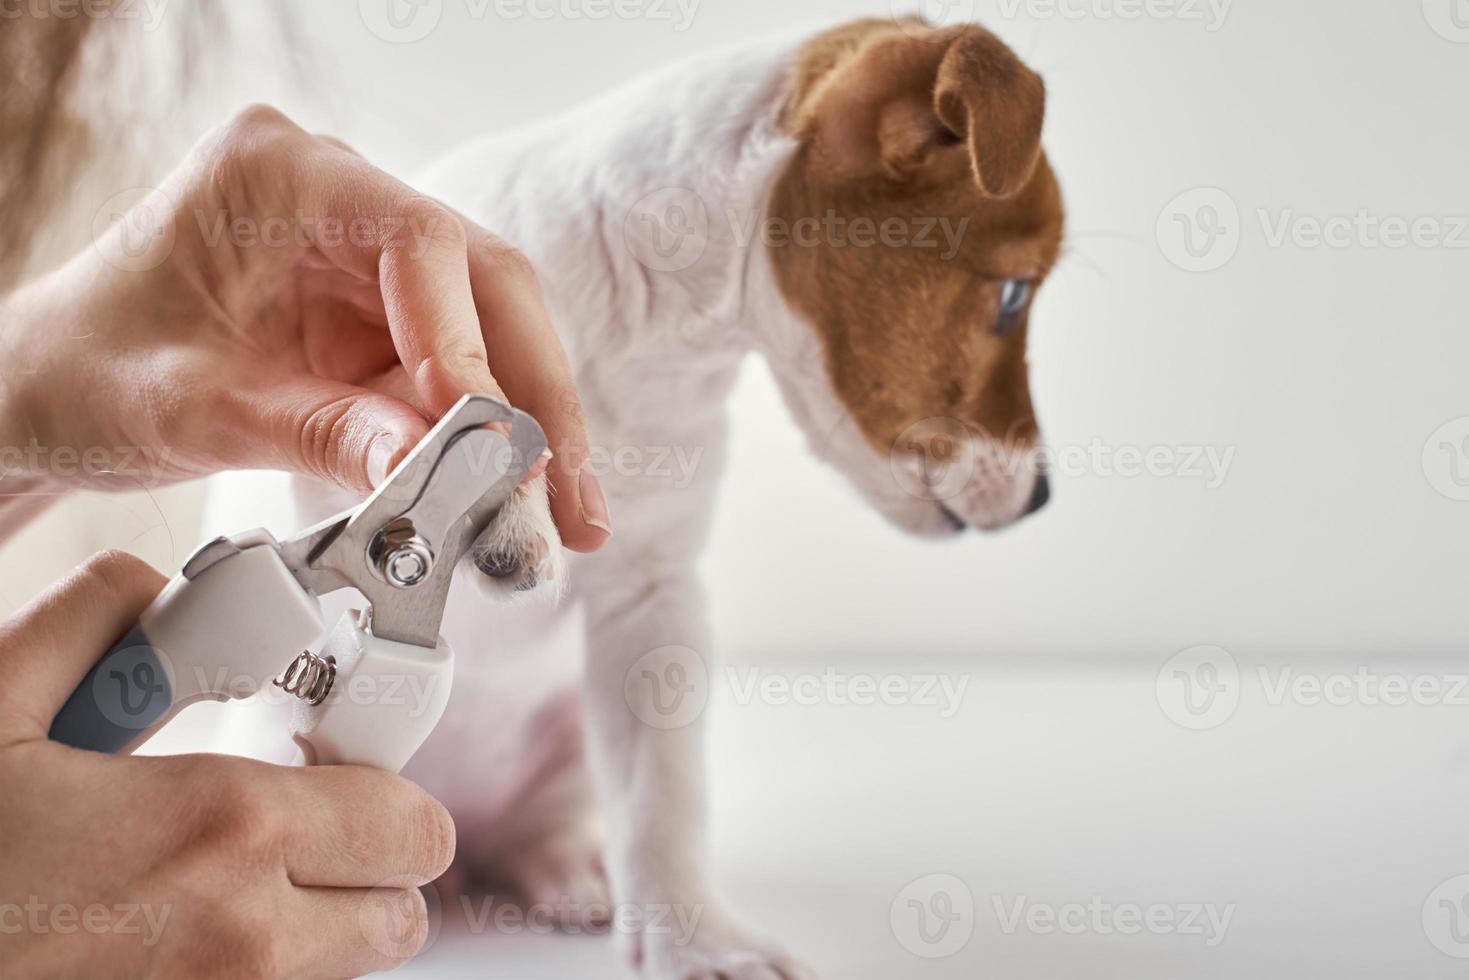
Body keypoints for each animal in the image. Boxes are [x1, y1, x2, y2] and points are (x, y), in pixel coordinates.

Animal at [277, 17, 1057, 980]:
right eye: (1015, 293)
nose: (1043, 498)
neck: (643, 330)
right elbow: (430, 395)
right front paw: (508, 494)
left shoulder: (652, 598)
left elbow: (662, 794)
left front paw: (696, 940)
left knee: (532, 830)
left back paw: (564, 872)